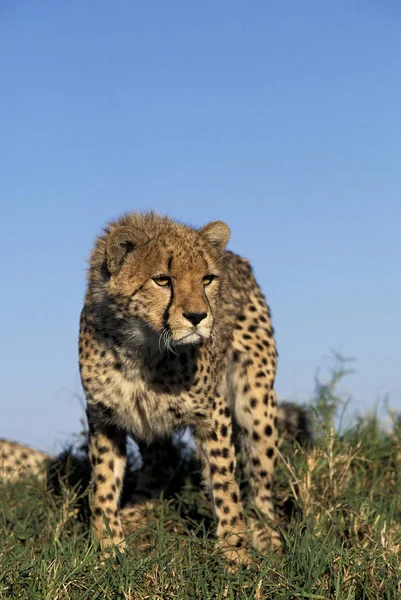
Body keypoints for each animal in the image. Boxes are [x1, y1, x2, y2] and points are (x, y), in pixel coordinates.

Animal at [79, 213, 296, 564]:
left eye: (207, 279)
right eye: (162, 280)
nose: (198, 316)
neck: (140, 348)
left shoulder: (213, 413)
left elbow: (224, 483)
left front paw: (235, 551)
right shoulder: (105, 417)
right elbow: (102, 484)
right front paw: (108, 549)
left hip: (256, 401)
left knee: (261, 481)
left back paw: (266, 533)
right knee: (163, 459)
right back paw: (137, 510)